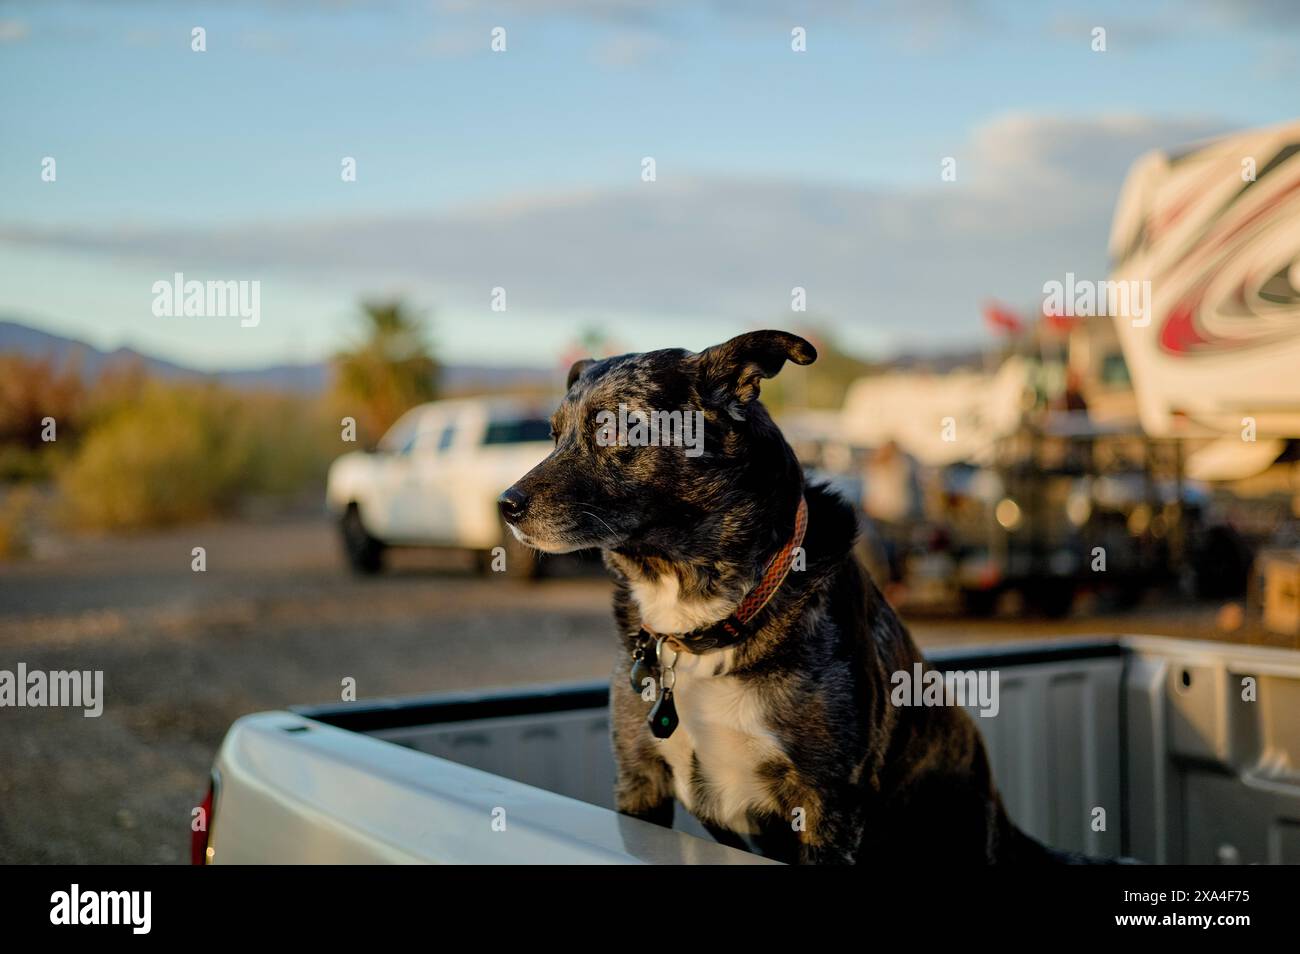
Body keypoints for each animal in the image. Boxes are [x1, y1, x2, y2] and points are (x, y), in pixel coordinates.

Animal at [496, 328, 1076, 868]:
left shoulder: (827, 803)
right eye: (553, 435)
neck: (703, 622)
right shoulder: (639, 781)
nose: (506, 505)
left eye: (617, 427)